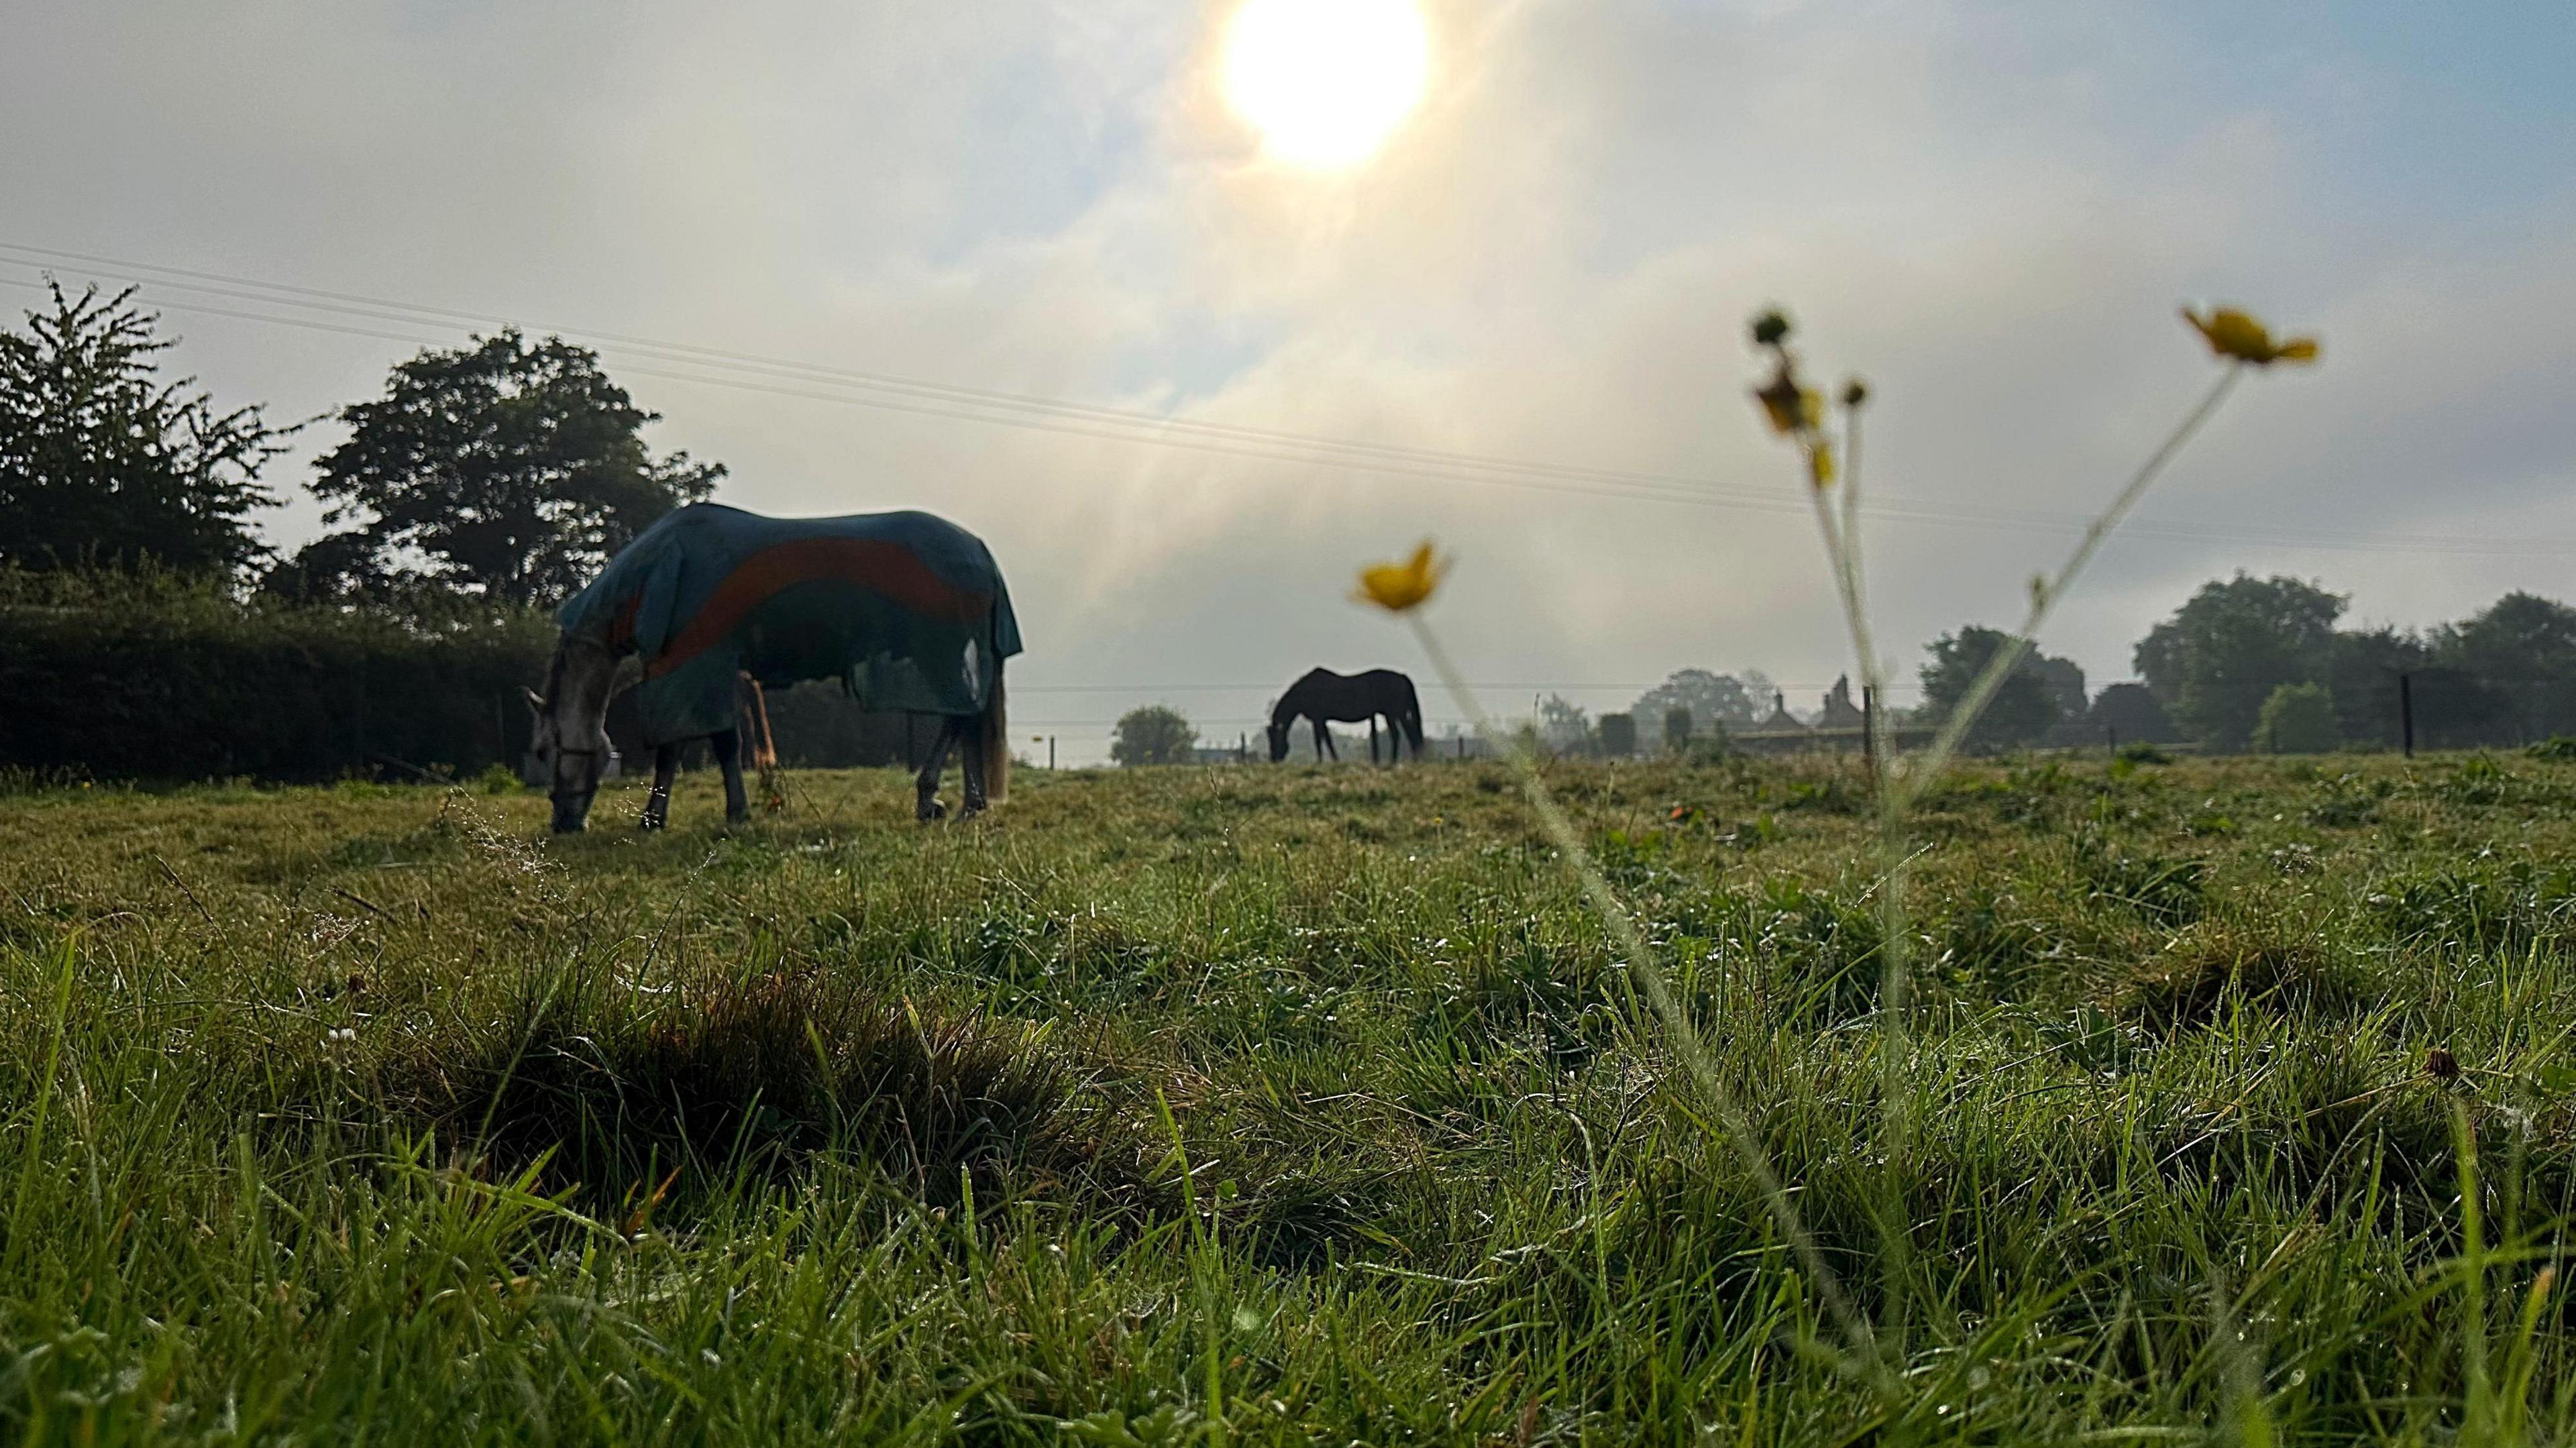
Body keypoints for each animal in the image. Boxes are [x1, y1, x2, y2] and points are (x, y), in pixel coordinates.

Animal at [528, 504, 1020, 824]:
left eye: (542, 751)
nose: (563, 822)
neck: (652, 576)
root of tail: (980, 551)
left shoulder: (693, 667)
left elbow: (698, 744)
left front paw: (703, 814)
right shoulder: (697, 670)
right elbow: (699, 744)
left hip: (940, 655)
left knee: (958, 719)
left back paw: (930, 799)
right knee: (969, 722)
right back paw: (970, 804)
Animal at [1267, 665, 1432, 763]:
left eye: (1275, 738)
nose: (1274, 759)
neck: (1305, 692)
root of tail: (1403, 677)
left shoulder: (1318, 719)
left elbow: (1321, 741)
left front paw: (1323, 762)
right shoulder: (1321, 720)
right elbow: (1325, 740)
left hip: (1394, 713)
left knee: (1401, 734)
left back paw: (1395, 762)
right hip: (1396, 714)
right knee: (1410, 734)